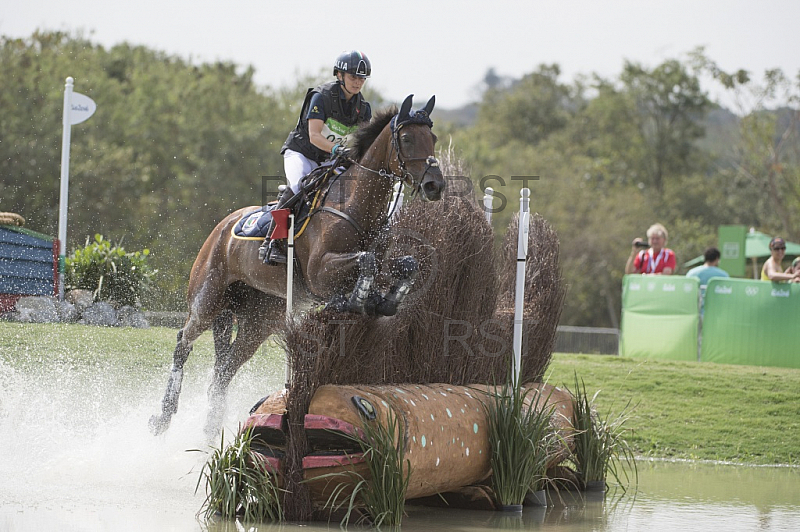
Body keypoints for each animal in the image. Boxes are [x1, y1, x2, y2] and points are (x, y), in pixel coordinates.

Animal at [148, 95, 444, 436]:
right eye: (407, 139)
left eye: (433, 138)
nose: (436, 186)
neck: (356, 206)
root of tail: (221, 228)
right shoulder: (319, 274)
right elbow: (365, 262)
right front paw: (358, 298)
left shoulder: (381, 263)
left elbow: (406, 265)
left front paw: (383, 301)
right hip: (208, 299)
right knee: (183, 342)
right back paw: (163, 417)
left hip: (260, 320)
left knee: (224, 369)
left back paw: (211, 429)